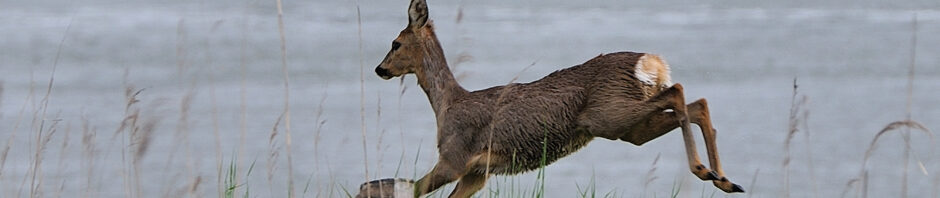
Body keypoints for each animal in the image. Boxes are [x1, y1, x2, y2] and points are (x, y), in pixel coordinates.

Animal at [366, 0, 740, 196]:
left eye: (396, 43)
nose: (379, 69)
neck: (446, 105)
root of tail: (652, 62)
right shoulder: (478, 173)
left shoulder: (455, 158)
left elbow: (404, 189)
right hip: (628, 128)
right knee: (695, 104)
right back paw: (723, 179)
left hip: (610, 114)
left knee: (680, 93)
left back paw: (705, 171)